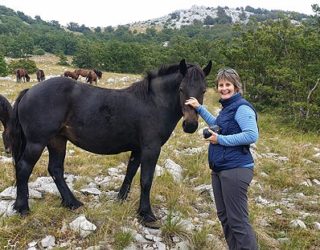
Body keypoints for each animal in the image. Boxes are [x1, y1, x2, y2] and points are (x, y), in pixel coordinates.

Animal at [8, 59, 211, 228]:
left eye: (203, 91)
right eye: (181, 89)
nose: (190, 125)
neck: (153, 102)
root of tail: (29, 91)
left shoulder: (138, 149)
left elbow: (130, 174)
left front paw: (121, 199)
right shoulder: (150, 148)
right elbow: (146, 180)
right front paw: (146, 215)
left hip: (57, 140)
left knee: (55, 169)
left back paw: (72, 203)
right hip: (37, 142)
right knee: (24, 168)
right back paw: (22, 207)